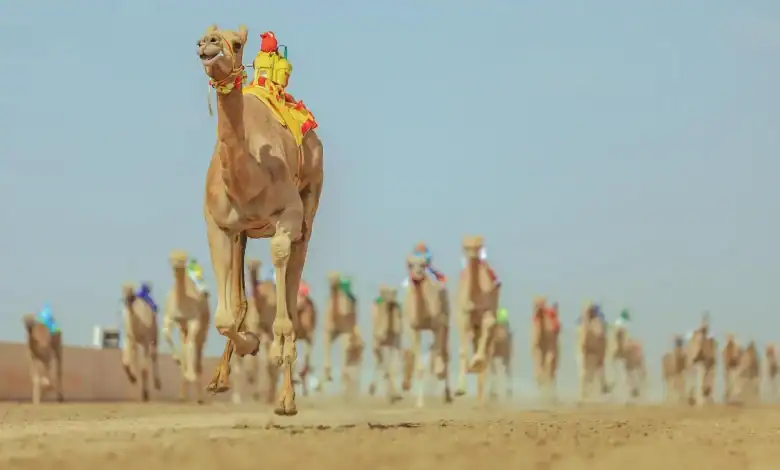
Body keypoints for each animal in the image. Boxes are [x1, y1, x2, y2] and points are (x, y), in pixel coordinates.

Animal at [162, 251, 211, 403]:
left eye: (183, 259)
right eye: (171, 258)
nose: (177, 266)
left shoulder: (194, 320)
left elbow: (191, 344)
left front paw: (191, 375)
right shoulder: (171, 318)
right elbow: (166, 334)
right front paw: (177, 360)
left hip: (204, 325)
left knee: (197, 348)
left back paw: (200, 397)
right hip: (182, 328)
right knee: (185, 344)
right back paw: (182, 395)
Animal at [197, 24, 324, 416]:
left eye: (237, 44)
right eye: (203, 37)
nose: (208, 46)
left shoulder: (288, 216)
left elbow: (280, 264)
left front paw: (273, 349)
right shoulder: (219, 224)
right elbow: (225, 316)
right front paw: (249, 343)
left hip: (309, 208)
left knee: (293, 293)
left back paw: (286, 400)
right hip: (244, 235)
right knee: (240, 301)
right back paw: (221, 378)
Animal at [402, 254, 453, 407]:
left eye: (423, 265)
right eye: (410, 265)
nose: (417, 275)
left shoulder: (437, 325)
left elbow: (437, 358)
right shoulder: (413, 328)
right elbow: (419, 367)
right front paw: (419, 404)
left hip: (446, 322)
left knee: (444, 353)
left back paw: (448, 395)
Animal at [456, 235, 500, 403]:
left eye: (479, 245)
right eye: (465, 246)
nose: (473, 256)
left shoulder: (488, 311)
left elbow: (489, 323)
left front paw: (475, 363)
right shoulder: (463, 316)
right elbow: (462, 352)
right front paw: (460, 390)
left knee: (488, 351)